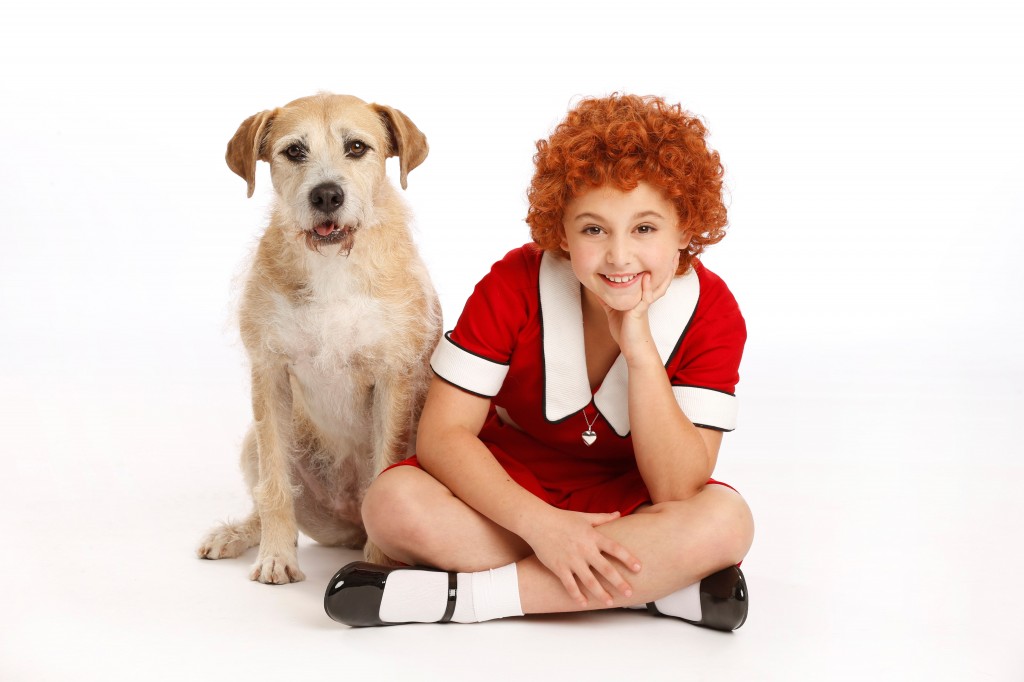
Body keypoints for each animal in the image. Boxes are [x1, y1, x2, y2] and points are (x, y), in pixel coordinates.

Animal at [197, 93, 442, 581]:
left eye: (356, 147)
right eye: (294, 150)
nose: (327, 194)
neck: (333, 266)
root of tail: (345, 525)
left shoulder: (395, 379)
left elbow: (385, 468)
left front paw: (378, 567)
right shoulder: (269, 373)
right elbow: (274, 486)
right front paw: (276, 557)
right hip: (256, 442)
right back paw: (236, 534)